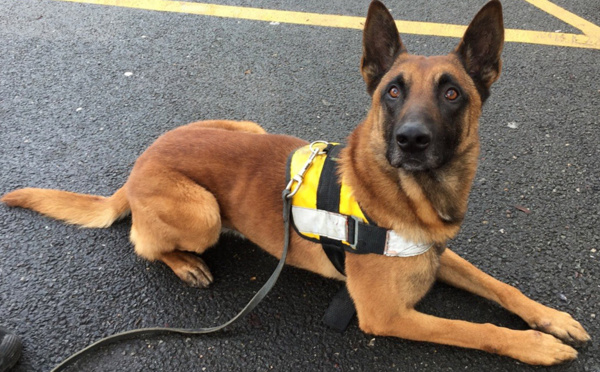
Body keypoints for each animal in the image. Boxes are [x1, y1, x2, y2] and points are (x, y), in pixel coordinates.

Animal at [0, 0, 592, 364]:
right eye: (393, 91)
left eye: (452, 93)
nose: (411, 140)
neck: (411, 196)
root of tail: (139, 163)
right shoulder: (387, 314)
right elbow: (475, 330)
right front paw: (536, 346)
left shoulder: (437, 252)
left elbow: (501, 287)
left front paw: (553, 320)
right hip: (202, 212)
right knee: (141, 241)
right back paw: (186, 263)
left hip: (248, 125)